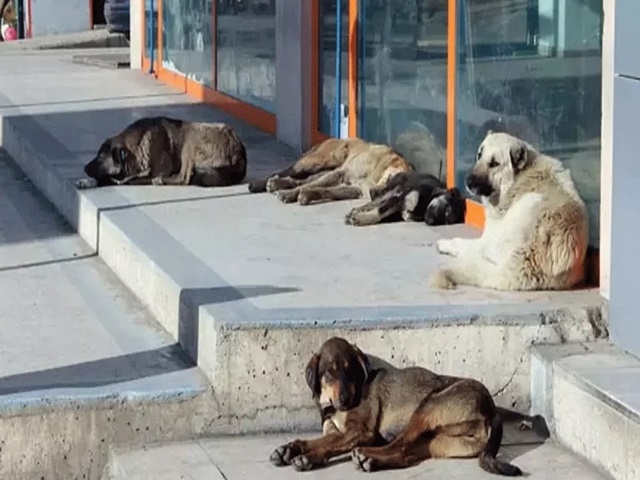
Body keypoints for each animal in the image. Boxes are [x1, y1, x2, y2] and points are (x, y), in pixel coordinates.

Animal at [74, 116, 246, 189]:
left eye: (100, 157)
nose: (84, 168)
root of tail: (240, 152)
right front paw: (87, 182)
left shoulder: (153, 172)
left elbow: (123, 180)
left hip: (190, 141)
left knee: (184, 178)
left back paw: (162, 181)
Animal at [248, 138, 412, 207]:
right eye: (390, 179)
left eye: (395, 192)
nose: (375, 195)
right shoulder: (343, 173)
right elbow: (309, 186)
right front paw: (289, 194)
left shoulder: (354, 188)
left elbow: (326, 190)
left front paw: (308, 195)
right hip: (316, 161)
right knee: (285, 172)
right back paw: (261, 184)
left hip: (323, 169)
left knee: (304, 179)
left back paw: (280, 183)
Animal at [268, 338, 544, 476]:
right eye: (329, 373)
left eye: (351, 371)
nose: (345, 400)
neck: (333, 406)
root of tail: (492, 409)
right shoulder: (335, 429)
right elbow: (322, 440)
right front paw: (290, 448)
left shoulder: (361, 432)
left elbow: (327, 445)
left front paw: (306, 456)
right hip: (437, 441)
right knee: (404, 455)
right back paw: (373, 462)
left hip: (428, 407)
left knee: (398, 445)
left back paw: (367, 456)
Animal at [430, 129, 592, 290]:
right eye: (479, 155)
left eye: (494, 163)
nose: (468, 181)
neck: (518, 179)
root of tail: (531, 258)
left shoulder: (486, 240)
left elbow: (461, 243)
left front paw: (444, 243)